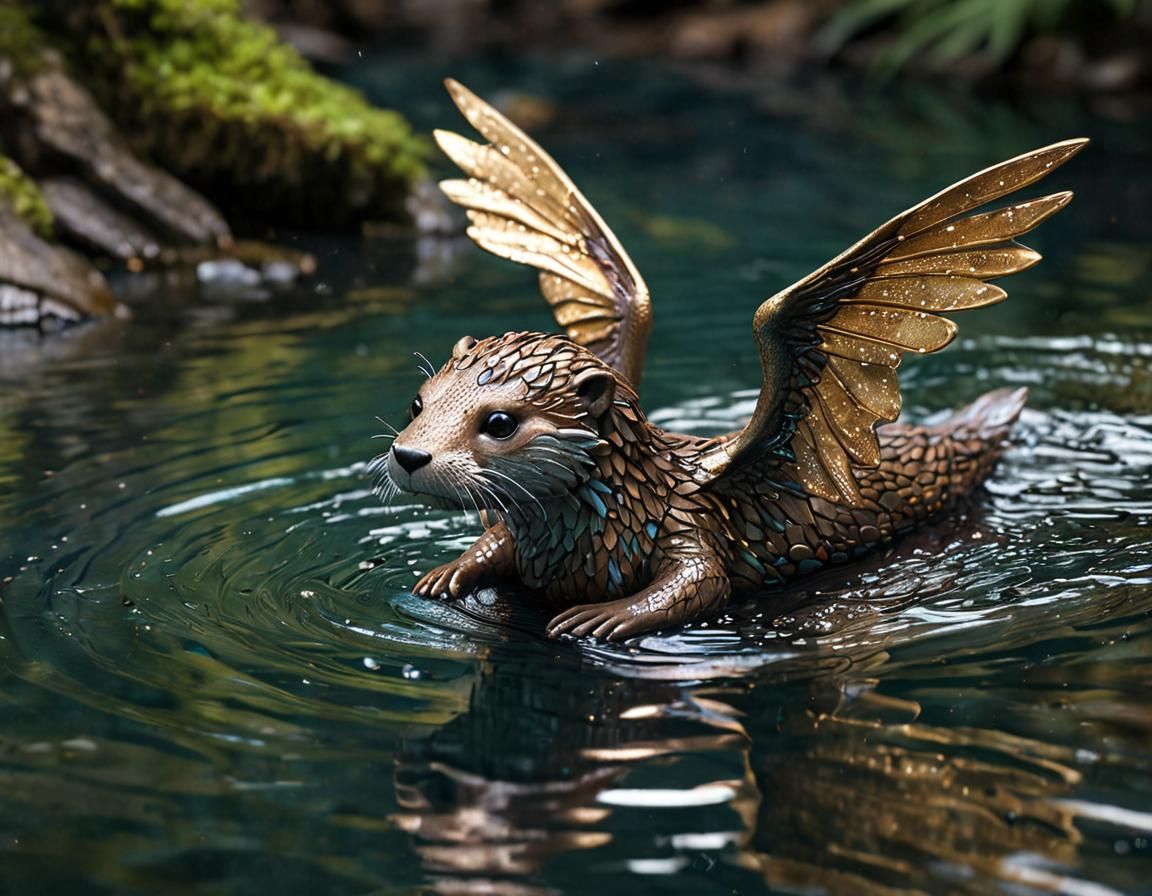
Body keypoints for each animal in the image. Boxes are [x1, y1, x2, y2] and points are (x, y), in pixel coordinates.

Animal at [376, 79, 1086, 641]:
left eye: (499, 423)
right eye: (416, 403)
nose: (409, 456)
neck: (619, 504)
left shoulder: (688, 523)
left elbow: (701, 582)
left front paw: (599, 616)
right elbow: (498, 538)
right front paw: (446, 572)